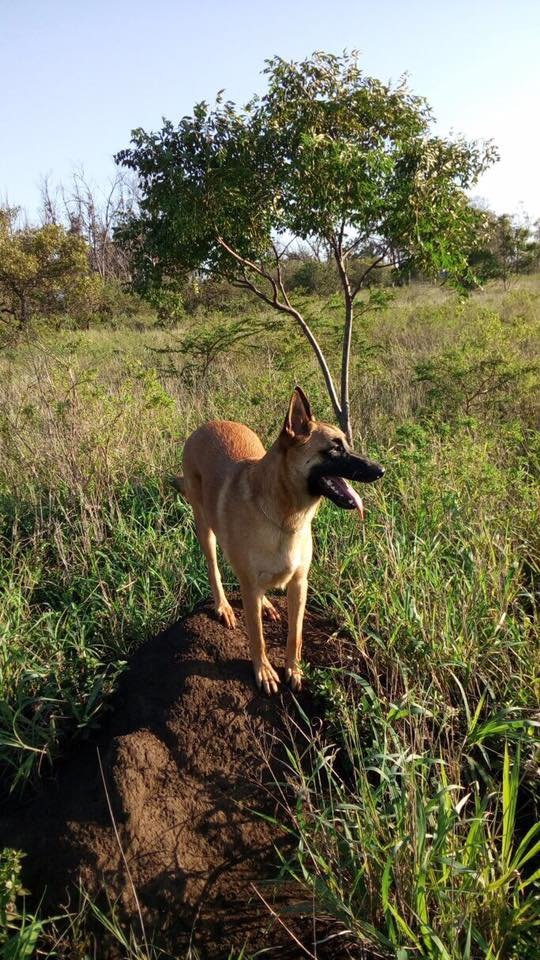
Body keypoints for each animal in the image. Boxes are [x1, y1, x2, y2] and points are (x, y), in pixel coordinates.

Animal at [174, 386, 384, 692]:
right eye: (335, 448)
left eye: (345, 443)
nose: (380, 470)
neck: (286, 520)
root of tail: (206, 426)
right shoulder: (250, 587)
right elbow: (257, 637)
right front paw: (264, 672)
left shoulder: (299, 584)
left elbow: (294, 635)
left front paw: (293, 670)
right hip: (205, 529)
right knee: (215, 570)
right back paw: (224, 606)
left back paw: (266, 605)